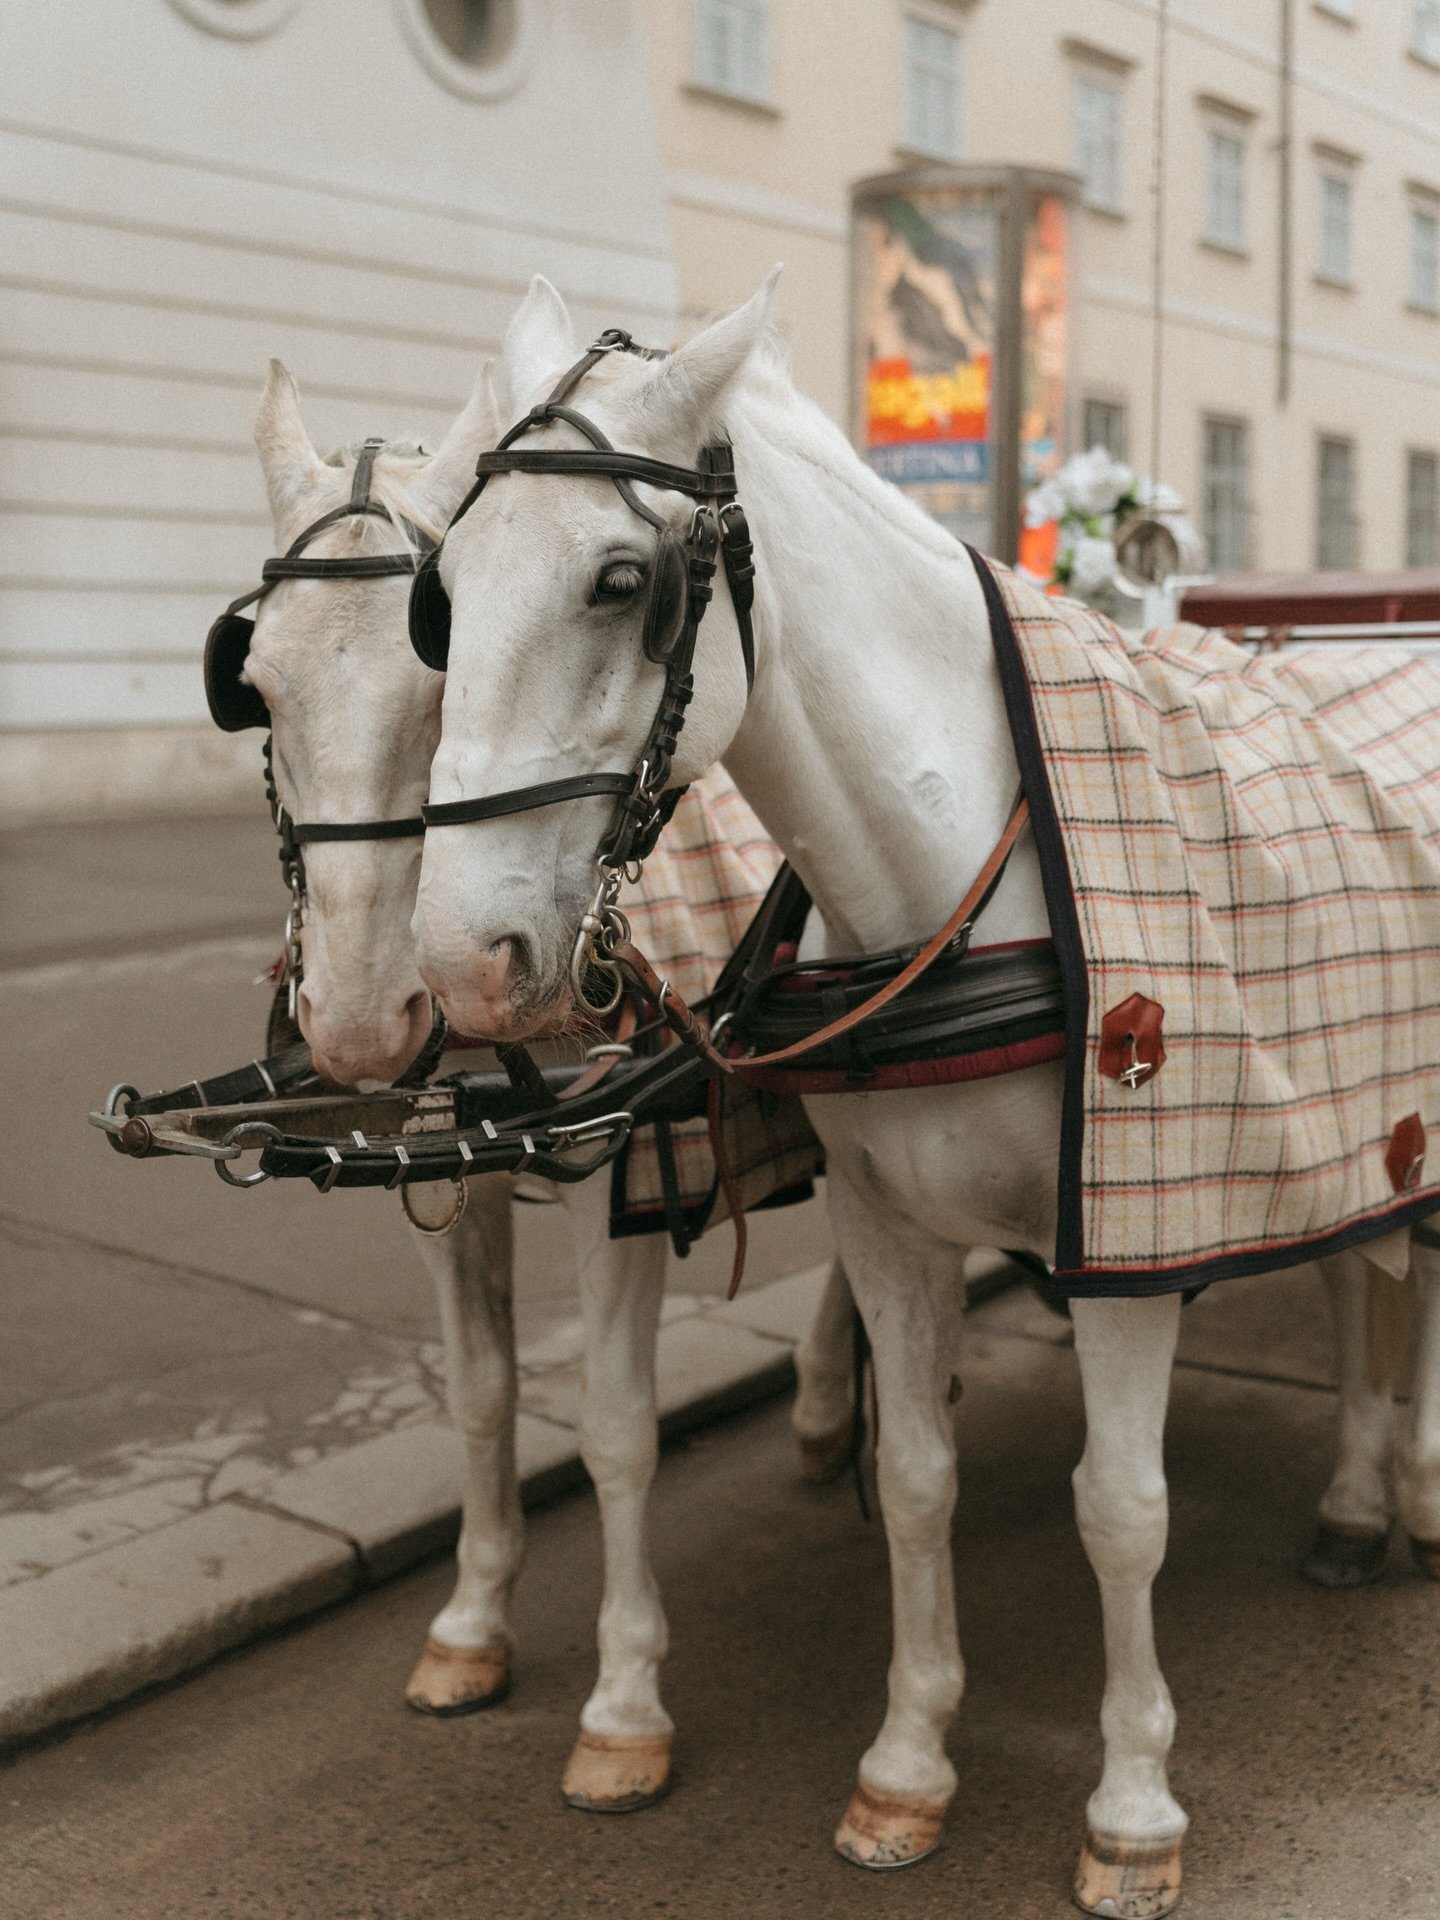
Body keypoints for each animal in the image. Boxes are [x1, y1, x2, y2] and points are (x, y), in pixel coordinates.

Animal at [235, 356, 862, 1811]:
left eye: (434, 685)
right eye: (258, 689)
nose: (363, 1017)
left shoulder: (616, 1167)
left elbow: (620, 1429)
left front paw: (625, 1704)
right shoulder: (443, 1186)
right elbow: (482, 1398)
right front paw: (471, 1627)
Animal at [407, 273, 1440, 1913]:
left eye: (622, 581)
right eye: (439, 591)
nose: (464, 962)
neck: (952, 868)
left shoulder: (1135, 1242)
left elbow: (1121, 1513)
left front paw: (1132, 1809)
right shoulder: (893, 1230)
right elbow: (913, 1483)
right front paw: (906, 1769)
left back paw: (1415, 1488)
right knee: (1359, 1276)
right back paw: (1353, 1497)